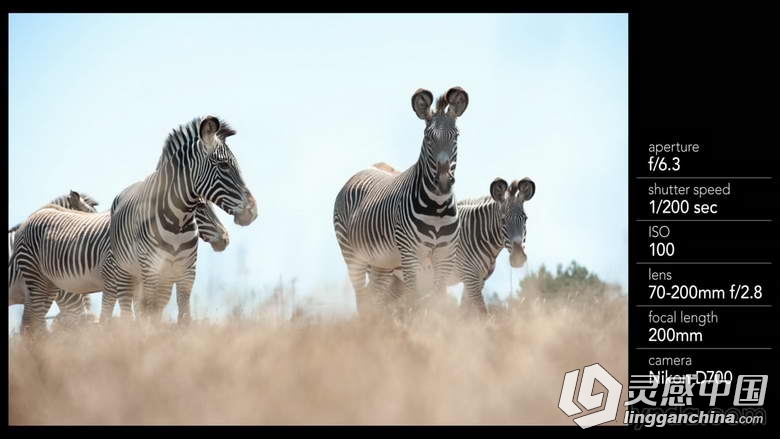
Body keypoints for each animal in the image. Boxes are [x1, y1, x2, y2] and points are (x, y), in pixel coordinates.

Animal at [330, 87, 466, 314]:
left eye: (455, 136)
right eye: (428, 138)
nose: (443, 182)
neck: (437, 207)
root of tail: (362, 170)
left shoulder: (445, 256)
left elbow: (437, 301)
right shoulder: (411, 256)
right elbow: (416, 301)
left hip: (381, 263)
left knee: (373, 297)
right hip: (352, 255)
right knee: (361, 297)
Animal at [368, 174, 532, 314]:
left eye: (525, 218)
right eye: (503, 220)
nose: (518, 258)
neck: (477, 234)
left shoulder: (478, 280)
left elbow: (465, 312)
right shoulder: (471, 277)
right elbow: (481, 313)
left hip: (397, 280)